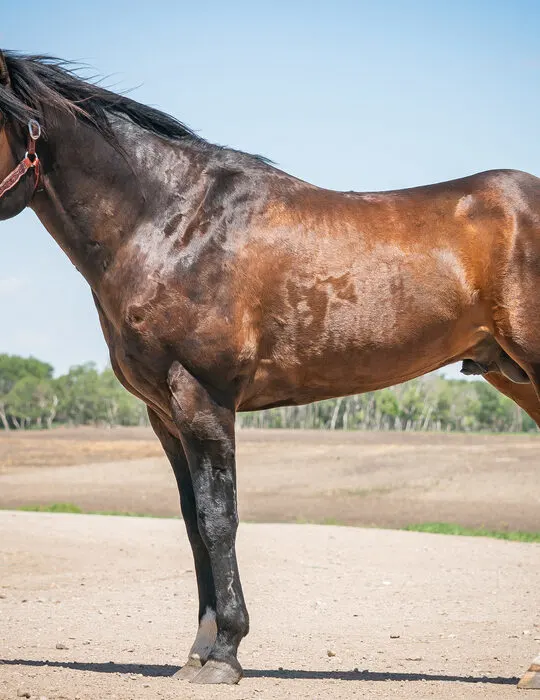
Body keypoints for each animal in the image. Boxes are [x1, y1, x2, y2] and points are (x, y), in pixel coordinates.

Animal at [1, 51, 539, 685]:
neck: (169, 223)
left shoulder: (203, 396)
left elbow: (219, 519)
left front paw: (225, 653)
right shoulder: (165, 415)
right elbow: (193, 524)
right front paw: (198, 652)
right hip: (513, 374)